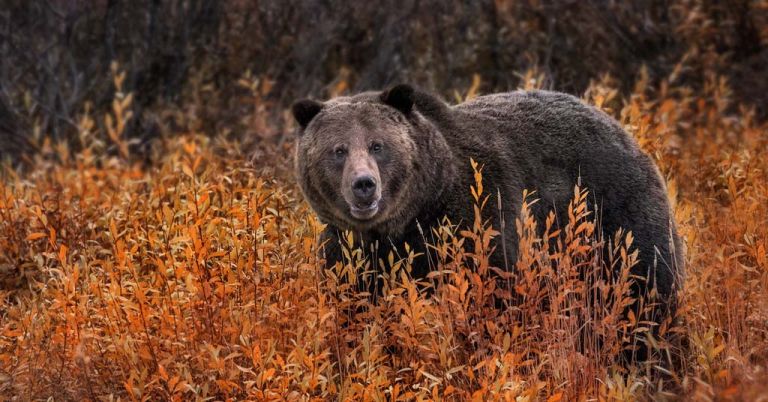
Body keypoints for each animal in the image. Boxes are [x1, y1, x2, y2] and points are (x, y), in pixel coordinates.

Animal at [292, 84, 684, 336]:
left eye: (378, 145)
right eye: (338, 150)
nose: (364, 184)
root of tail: (625, 131)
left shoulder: (479, 222)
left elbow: (495, 297)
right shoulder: (349, 254)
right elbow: (353, 312)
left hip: (615, 219)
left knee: (647, 293)